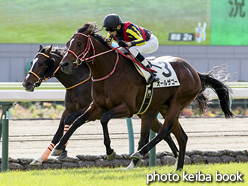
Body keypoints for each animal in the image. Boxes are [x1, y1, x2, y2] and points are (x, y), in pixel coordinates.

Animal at [53, 22, 232, 171]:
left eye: (79, 43)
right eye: (68, 43)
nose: (64, 64)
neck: (109, 72)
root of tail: (194, 71)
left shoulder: (127, 108)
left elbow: (104, 119)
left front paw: (110, 152)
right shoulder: (97, 106)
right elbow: (77, 121)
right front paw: (58, 148)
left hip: (178, 102)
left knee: (164, 131)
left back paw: (139, 153)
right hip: (164, 106)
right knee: (181, 136)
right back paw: (178, 168)